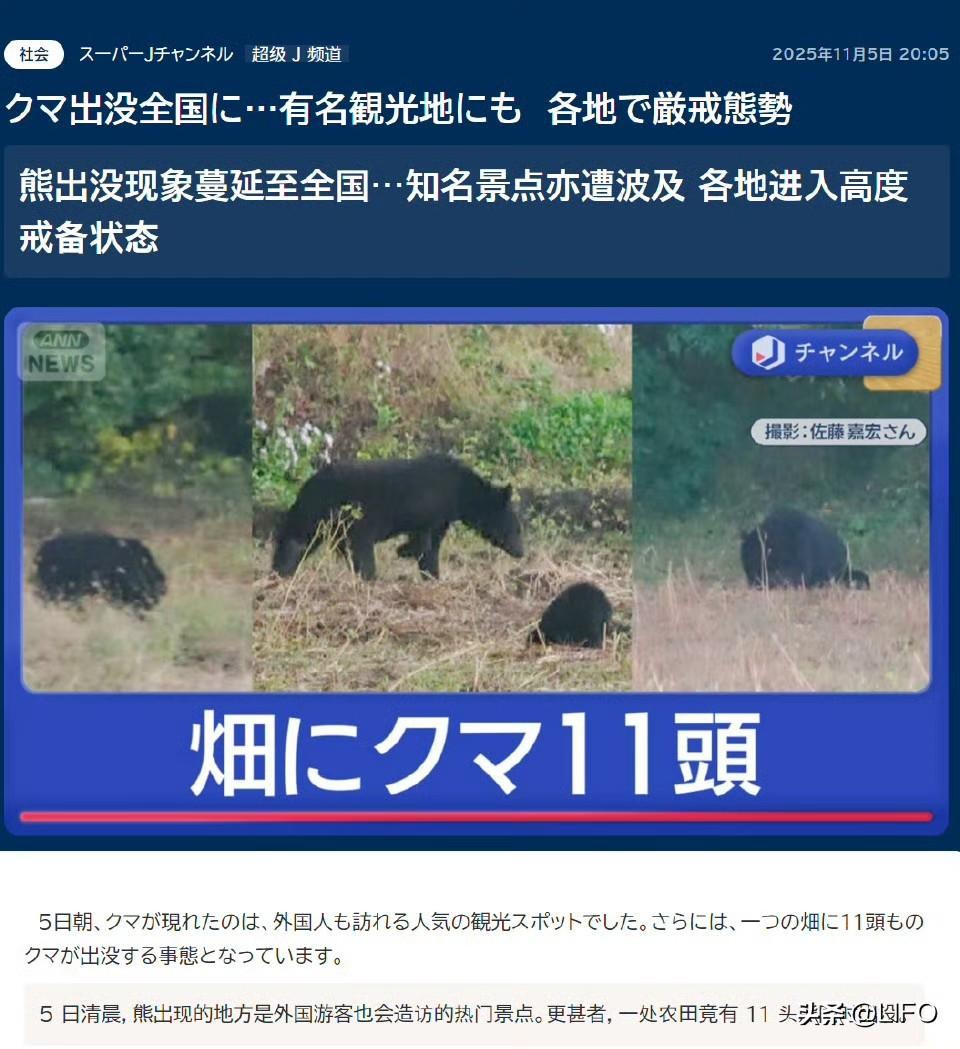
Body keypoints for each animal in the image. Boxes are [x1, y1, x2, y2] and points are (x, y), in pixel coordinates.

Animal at [272, 453, 524, 581]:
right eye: (516, 528)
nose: (521, 552)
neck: (461, 491)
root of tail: (310, 484)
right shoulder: (430, 505)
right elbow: (425, 541)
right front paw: (407, 552)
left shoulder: (438, 516)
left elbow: (429, 545)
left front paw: (429, 572)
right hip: (350, 517)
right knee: (359, 550)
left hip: (318, 518)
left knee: (297, 540)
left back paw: (281, 570)